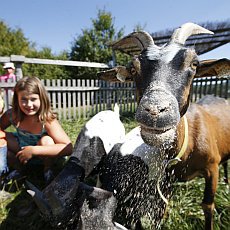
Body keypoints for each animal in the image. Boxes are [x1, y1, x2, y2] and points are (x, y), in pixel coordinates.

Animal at [98, 22, 230, 230]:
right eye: (133, 68)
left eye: (194, 64)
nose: (154, 110)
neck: (188, 144)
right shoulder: (167, 178)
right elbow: (163, 207)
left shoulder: (212, 168)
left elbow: (208, 205)